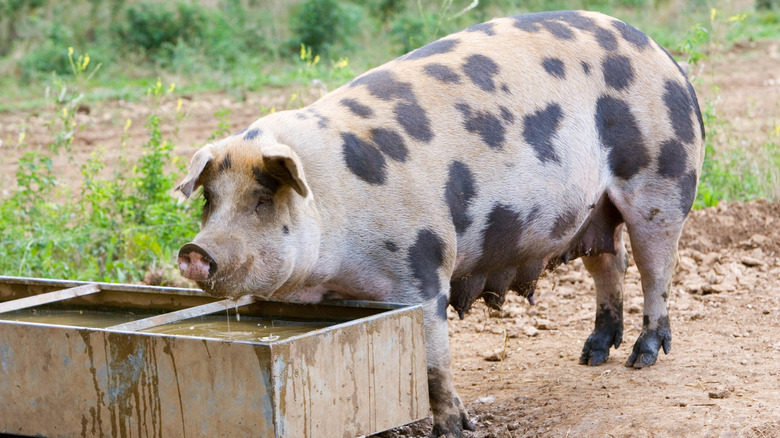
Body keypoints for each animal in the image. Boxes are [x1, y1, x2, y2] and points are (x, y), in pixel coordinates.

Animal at [175, 10, 704, 437]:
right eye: (210, 200)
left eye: (263, 200)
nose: (194, 252)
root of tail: (665, 57)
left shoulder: (425, 265)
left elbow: (433, 363)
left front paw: (454, 428)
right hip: (595, 210)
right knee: (609, 260)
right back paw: (592, 354)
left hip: (663, 179)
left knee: (656, 268)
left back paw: (642, 357)